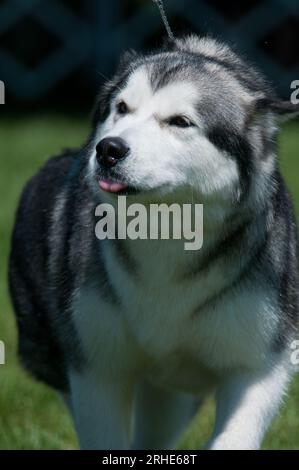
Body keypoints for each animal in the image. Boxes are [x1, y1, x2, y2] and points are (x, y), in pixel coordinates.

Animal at [9, 35, 299, 448]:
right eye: (122, 108)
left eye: (180, 122)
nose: (108, 149)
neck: (166, 229)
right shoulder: (96, 368)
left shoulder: (260, 364)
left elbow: (236, 432)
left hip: (174, 393)